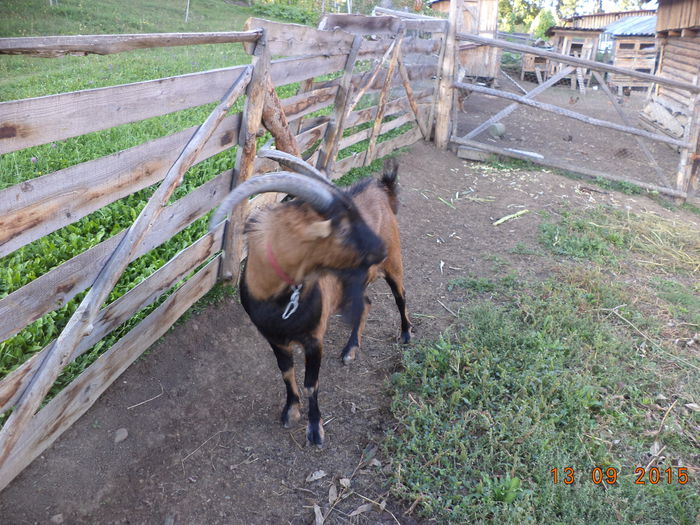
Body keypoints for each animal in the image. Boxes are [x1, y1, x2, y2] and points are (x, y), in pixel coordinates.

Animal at [211, 156, 412, 446]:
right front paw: (291, 411)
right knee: (366, 303)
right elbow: (286, 374)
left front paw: (315, 429)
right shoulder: (274, 339)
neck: (280, 303)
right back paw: (350, 349)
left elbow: (311, 383)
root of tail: (383, 189)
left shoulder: (314, 339)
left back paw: (406, 334)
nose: (379, 249)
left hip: (394, 264)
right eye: (343, 227)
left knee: (400, 297)